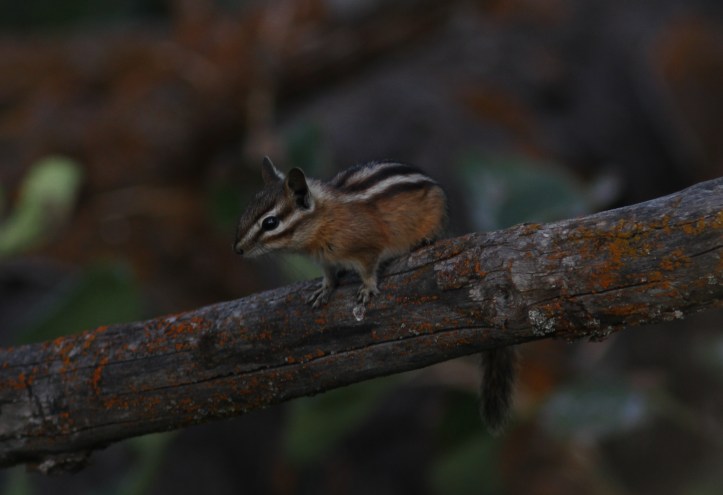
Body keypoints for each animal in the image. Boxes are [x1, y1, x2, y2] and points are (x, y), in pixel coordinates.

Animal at [234, 157, 516, 433]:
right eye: (247, 211)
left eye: (270, 223)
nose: (237, 249)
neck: (324, 220)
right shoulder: (326, 260)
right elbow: (329, 275)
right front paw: (324, 290)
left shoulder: (367, 248)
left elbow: (369, 269)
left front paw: (367, 289)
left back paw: (424, 240)